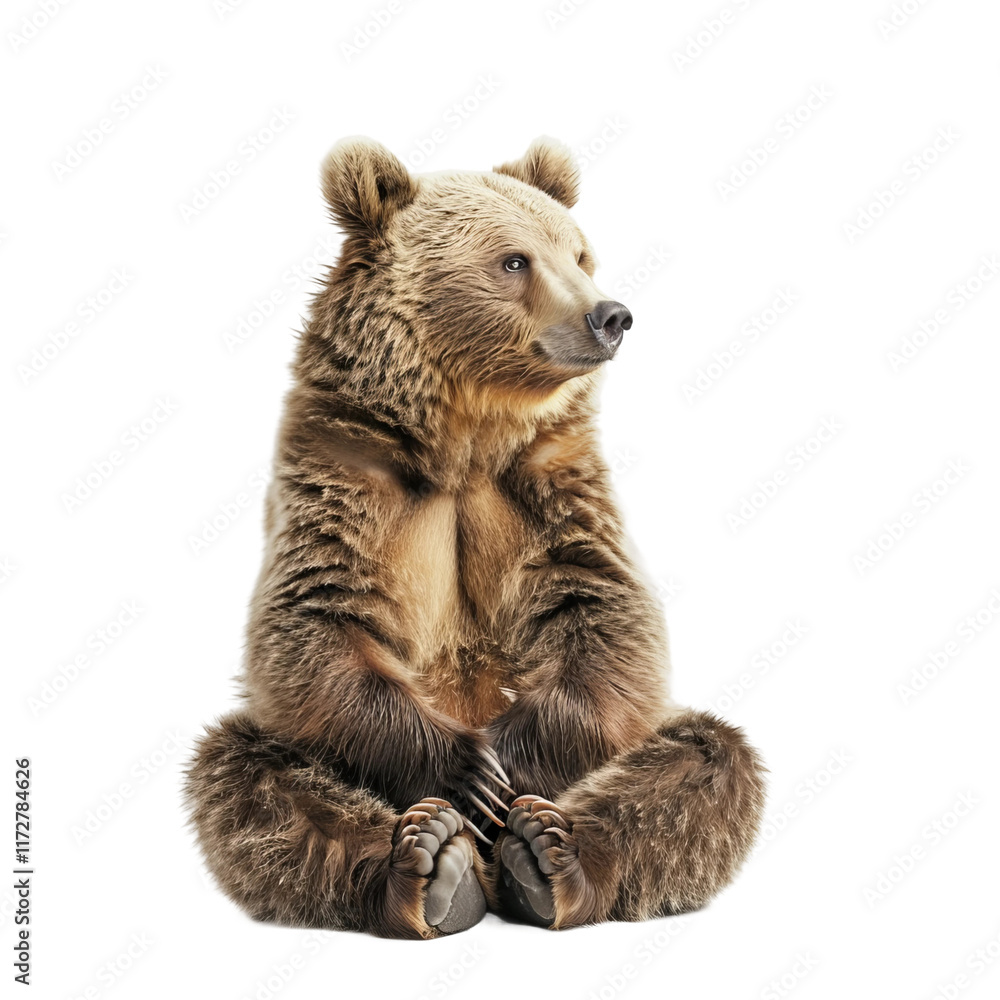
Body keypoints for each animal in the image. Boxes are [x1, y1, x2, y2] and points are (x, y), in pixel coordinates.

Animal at [184, 136, 766, 939]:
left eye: (579, 253)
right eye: (514, 260)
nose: (610, 315)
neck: (464, 438)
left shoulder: (551, 478)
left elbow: (608, 615)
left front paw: (505, 766)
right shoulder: (344, 464)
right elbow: (316, 624)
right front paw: (467, 771)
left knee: (708, 759)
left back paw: (545, 856)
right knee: (248, 775)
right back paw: (430, 865)